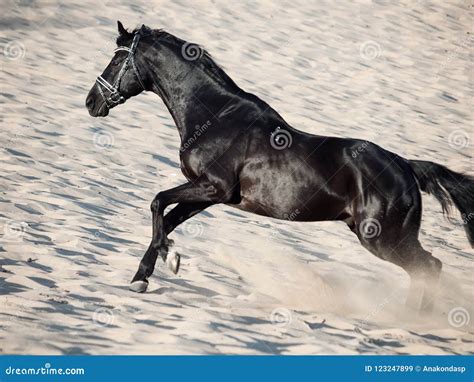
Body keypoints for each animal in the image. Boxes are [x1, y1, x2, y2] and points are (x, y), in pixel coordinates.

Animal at [86, 22, 474, 312]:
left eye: (116, 61)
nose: (91, 102)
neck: (216, 117)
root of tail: (406, 167)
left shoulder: (213, 186)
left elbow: (157, 202)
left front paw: (171, 260)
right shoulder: (209, 195)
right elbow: (166, 219)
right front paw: (142, 278)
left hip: (381, 237)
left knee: (429, 267)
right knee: (427, 269)